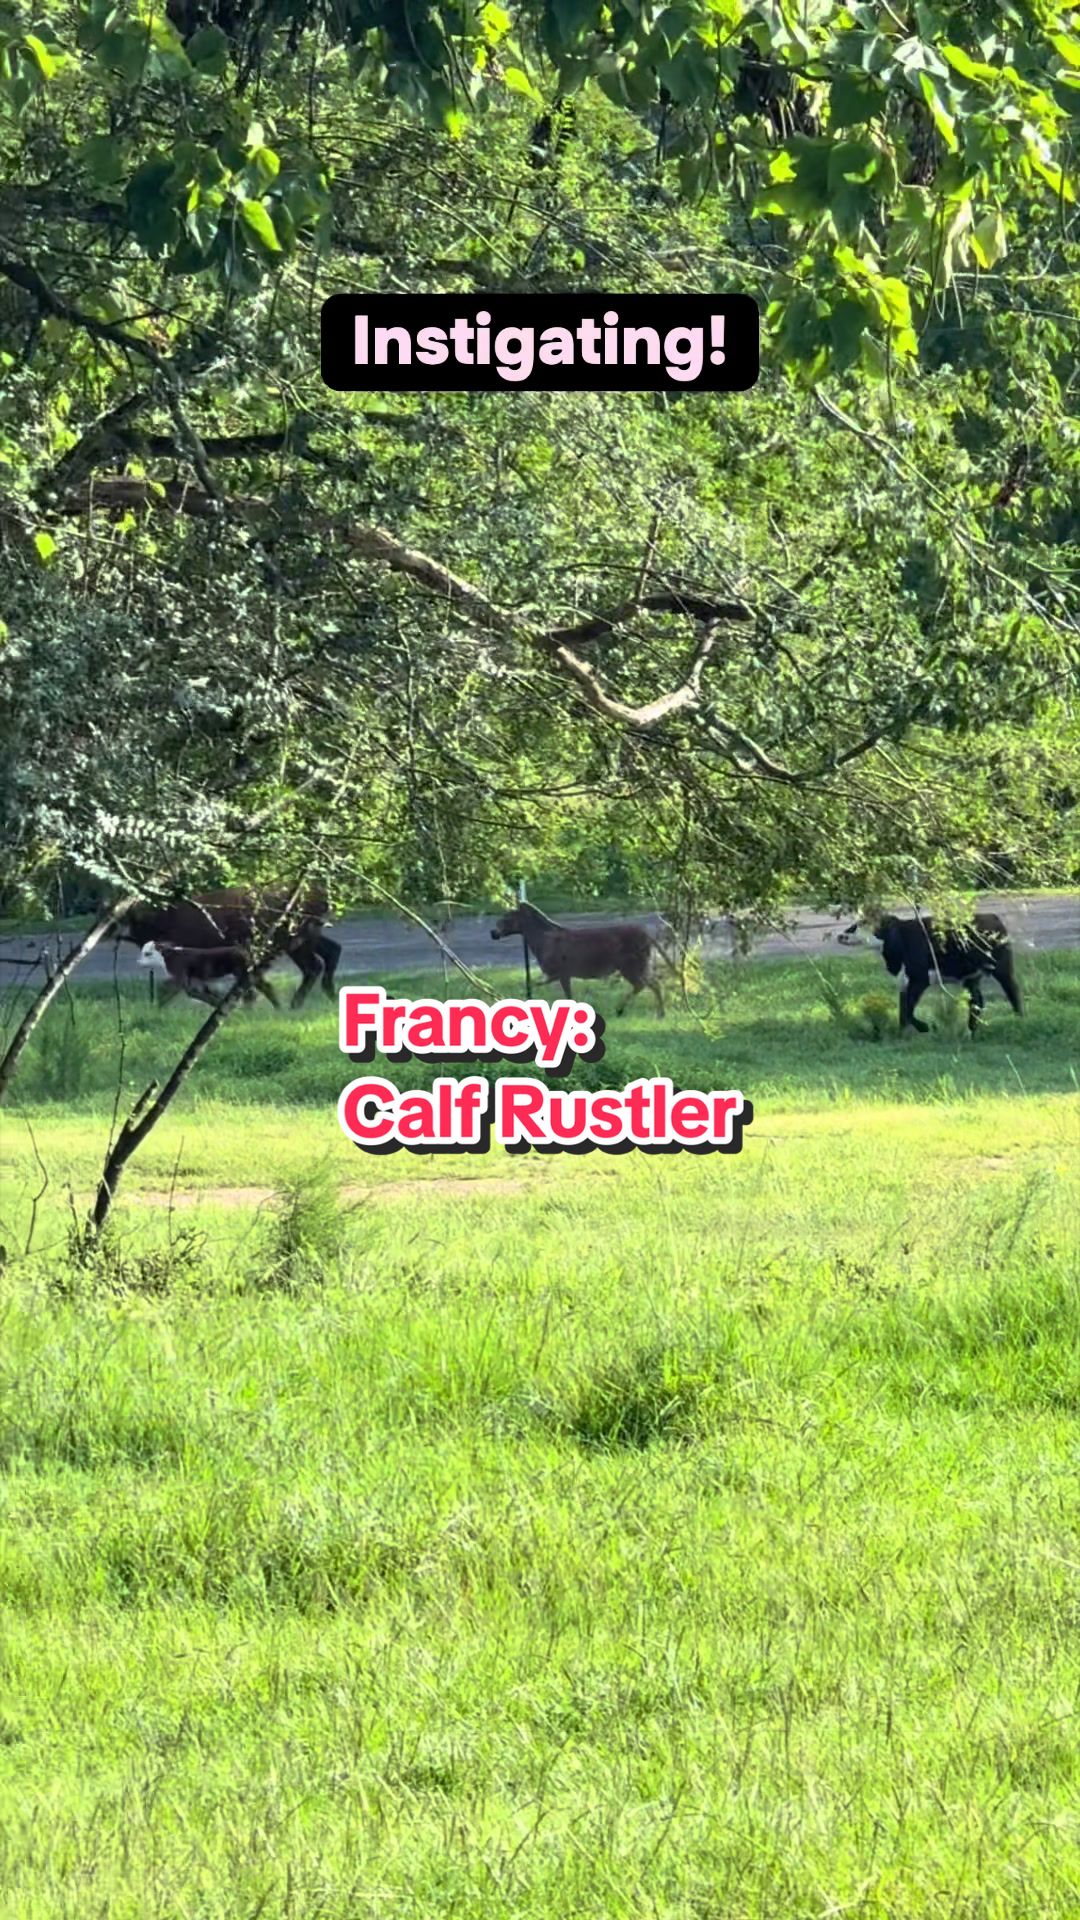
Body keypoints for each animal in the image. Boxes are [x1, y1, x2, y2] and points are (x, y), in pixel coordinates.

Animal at [139, 939, 280, 1009]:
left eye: (147, 954)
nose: (138, 962)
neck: (168, 956)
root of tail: (243, 950)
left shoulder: (180, 978)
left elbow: (166, 987)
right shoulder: (195, 981)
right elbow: (201, 994)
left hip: (243, 972)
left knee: (261, 988)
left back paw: (277, 1008)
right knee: (254, 992)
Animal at [491, 901, 674, 1017]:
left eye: (507, 917)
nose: (493, 932)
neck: (539, 942)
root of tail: (649, 937)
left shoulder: (558, 972)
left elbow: (537, 986)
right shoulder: (560, 974)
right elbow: (543, 988)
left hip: (632, 966)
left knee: (648, 984)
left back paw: (630, 1010)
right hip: (639, 965)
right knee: (652, 983)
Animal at [843, 911, 1023, 1036]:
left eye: (862, 923)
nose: (841, 935)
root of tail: (994, 917)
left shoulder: (920, 978)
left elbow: (908, 1009)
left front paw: (924, 1027)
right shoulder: (905, 981)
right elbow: (904, 1009)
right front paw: (903, 1035)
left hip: (1002, 968)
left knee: (1012, 990)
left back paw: (1019, 1020)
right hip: (971, 977)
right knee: (977, 1001)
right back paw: (970, 1033)